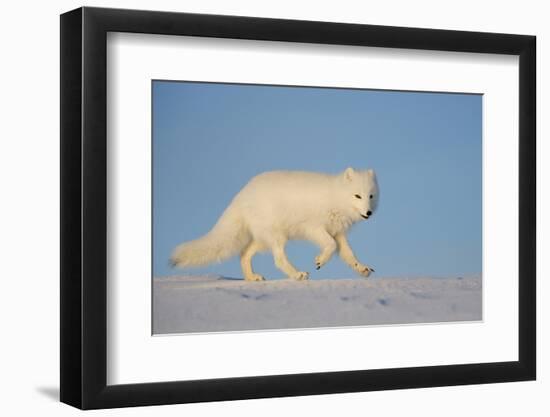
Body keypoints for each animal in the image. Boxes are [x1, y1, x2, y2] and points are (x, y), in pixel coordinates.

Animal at [171, 167, 380, 282]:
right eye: (357, 196)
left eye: (370, 196)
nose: (368, 213)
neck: (335, 197)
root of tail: (242, 194)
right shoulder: (313, 228)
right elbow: (331, 245)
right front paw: (319, 260)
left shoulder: (338, 232)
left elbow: (349, 254)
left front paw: (362, 269)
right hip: (276, 237)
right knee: (278, 259)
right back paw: (297, 275)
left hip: (263, 239)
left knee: (244, 254)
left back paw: (251, 278)